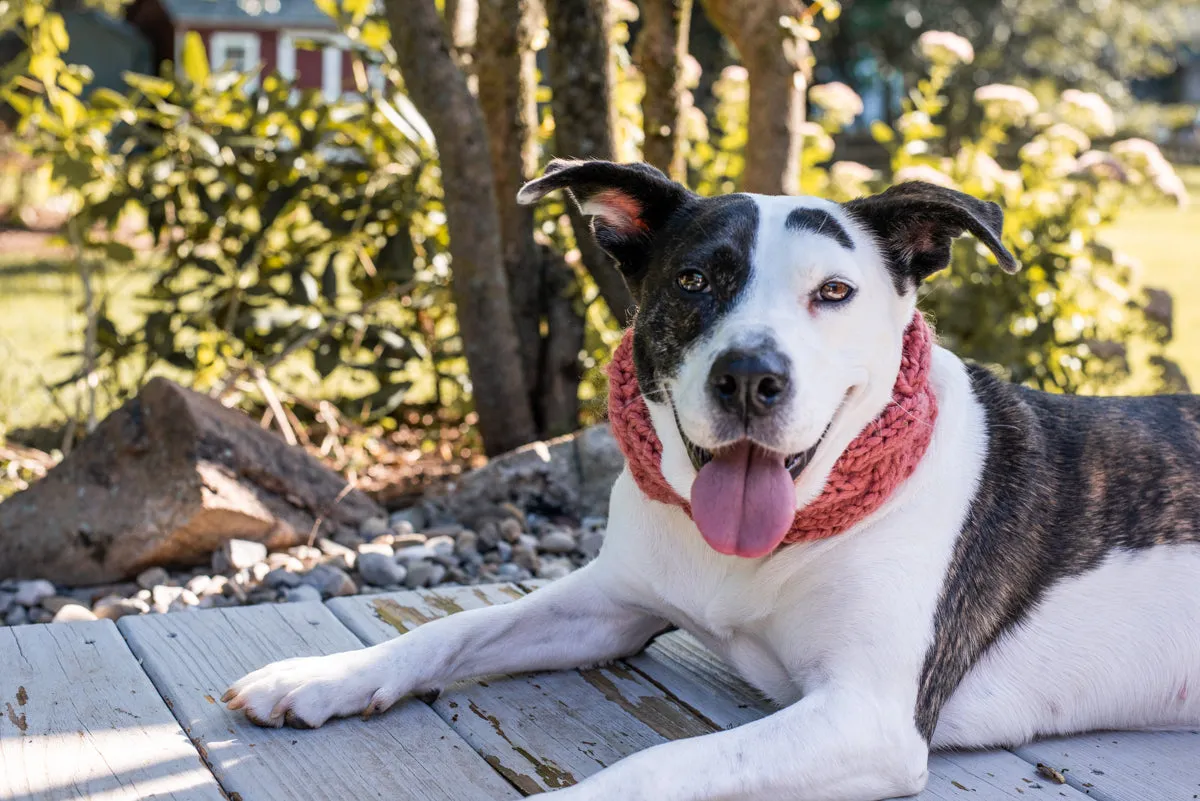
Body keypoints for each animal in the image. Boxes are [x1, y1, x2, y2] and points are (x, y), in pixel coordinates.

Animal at [223, 159, 1200, 796]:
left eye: (834, 292)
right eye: (694, 279)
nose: (749, 377)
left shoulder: (865, 717)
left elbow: (659, 764)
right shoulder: (610, 604)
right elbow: (454, 628)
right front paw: (322, 674)